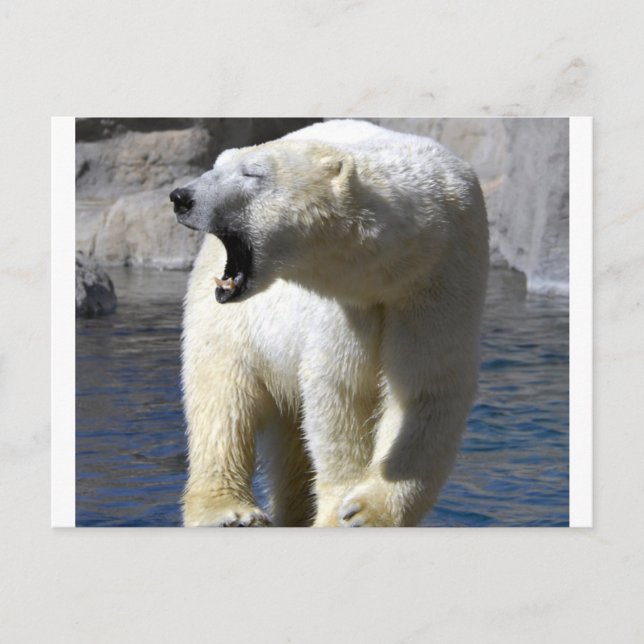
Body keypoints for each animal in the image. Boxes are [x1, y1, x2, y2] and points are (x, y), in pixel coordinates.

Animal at [170, 119, 489, 527]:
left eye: (252, 173)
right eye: (217, 166)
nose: (182, 197)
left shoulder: (441, 280)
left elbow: (424, 388)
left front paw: (367, 512)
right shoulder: (345, 306)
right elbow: (341, 390)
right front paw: (341, 510)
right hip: (234, 323)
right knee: (223, 398)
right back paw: (230, 512)